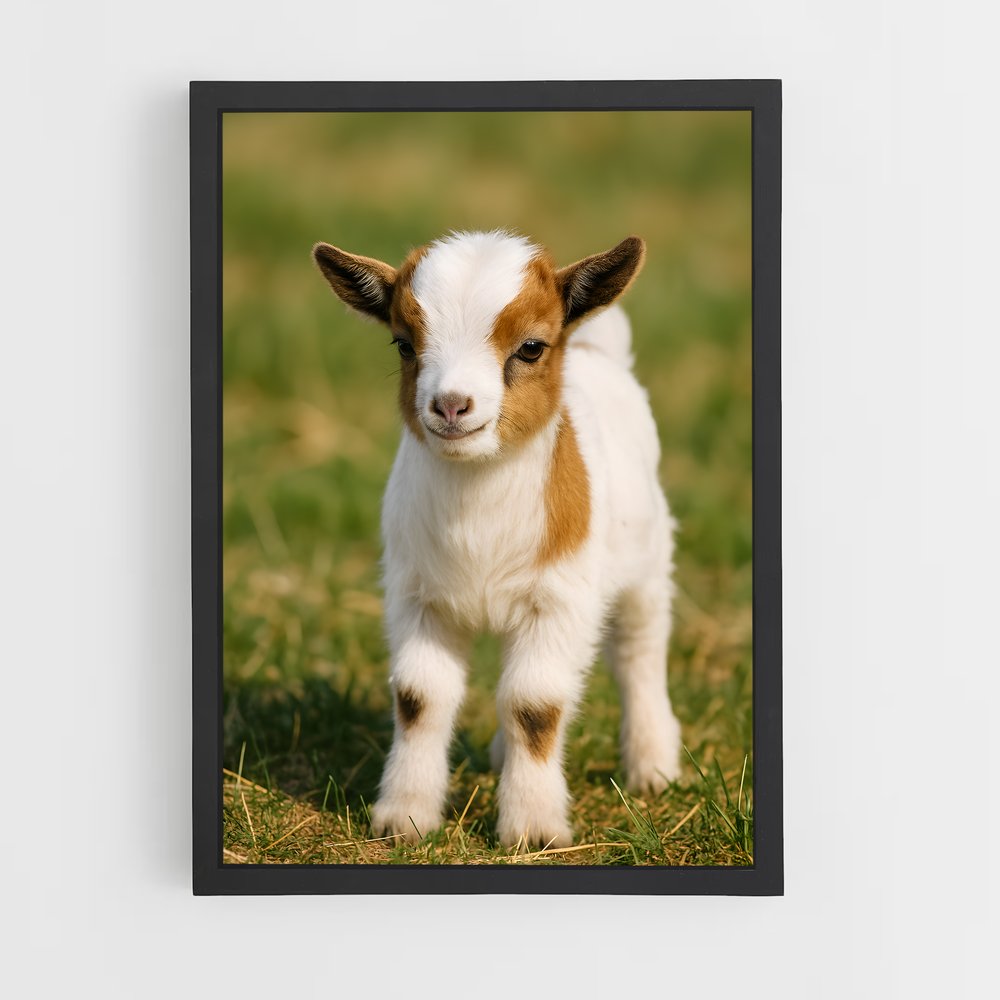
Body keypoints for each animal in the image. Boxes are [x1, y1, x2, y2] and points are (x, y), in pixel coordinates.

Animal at [313, 230, 681, 848]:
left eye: (531, 347)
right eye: (403, 344)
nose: (451, 405)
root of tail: (599, 350)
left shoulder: (559, 599)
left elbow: (537, 705)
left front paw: (533, 829)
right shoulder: (418, 595)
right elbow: (420, 698)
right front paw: (405, 818)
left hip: (647, 560)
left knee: (639, 649)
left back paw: (654, 766)